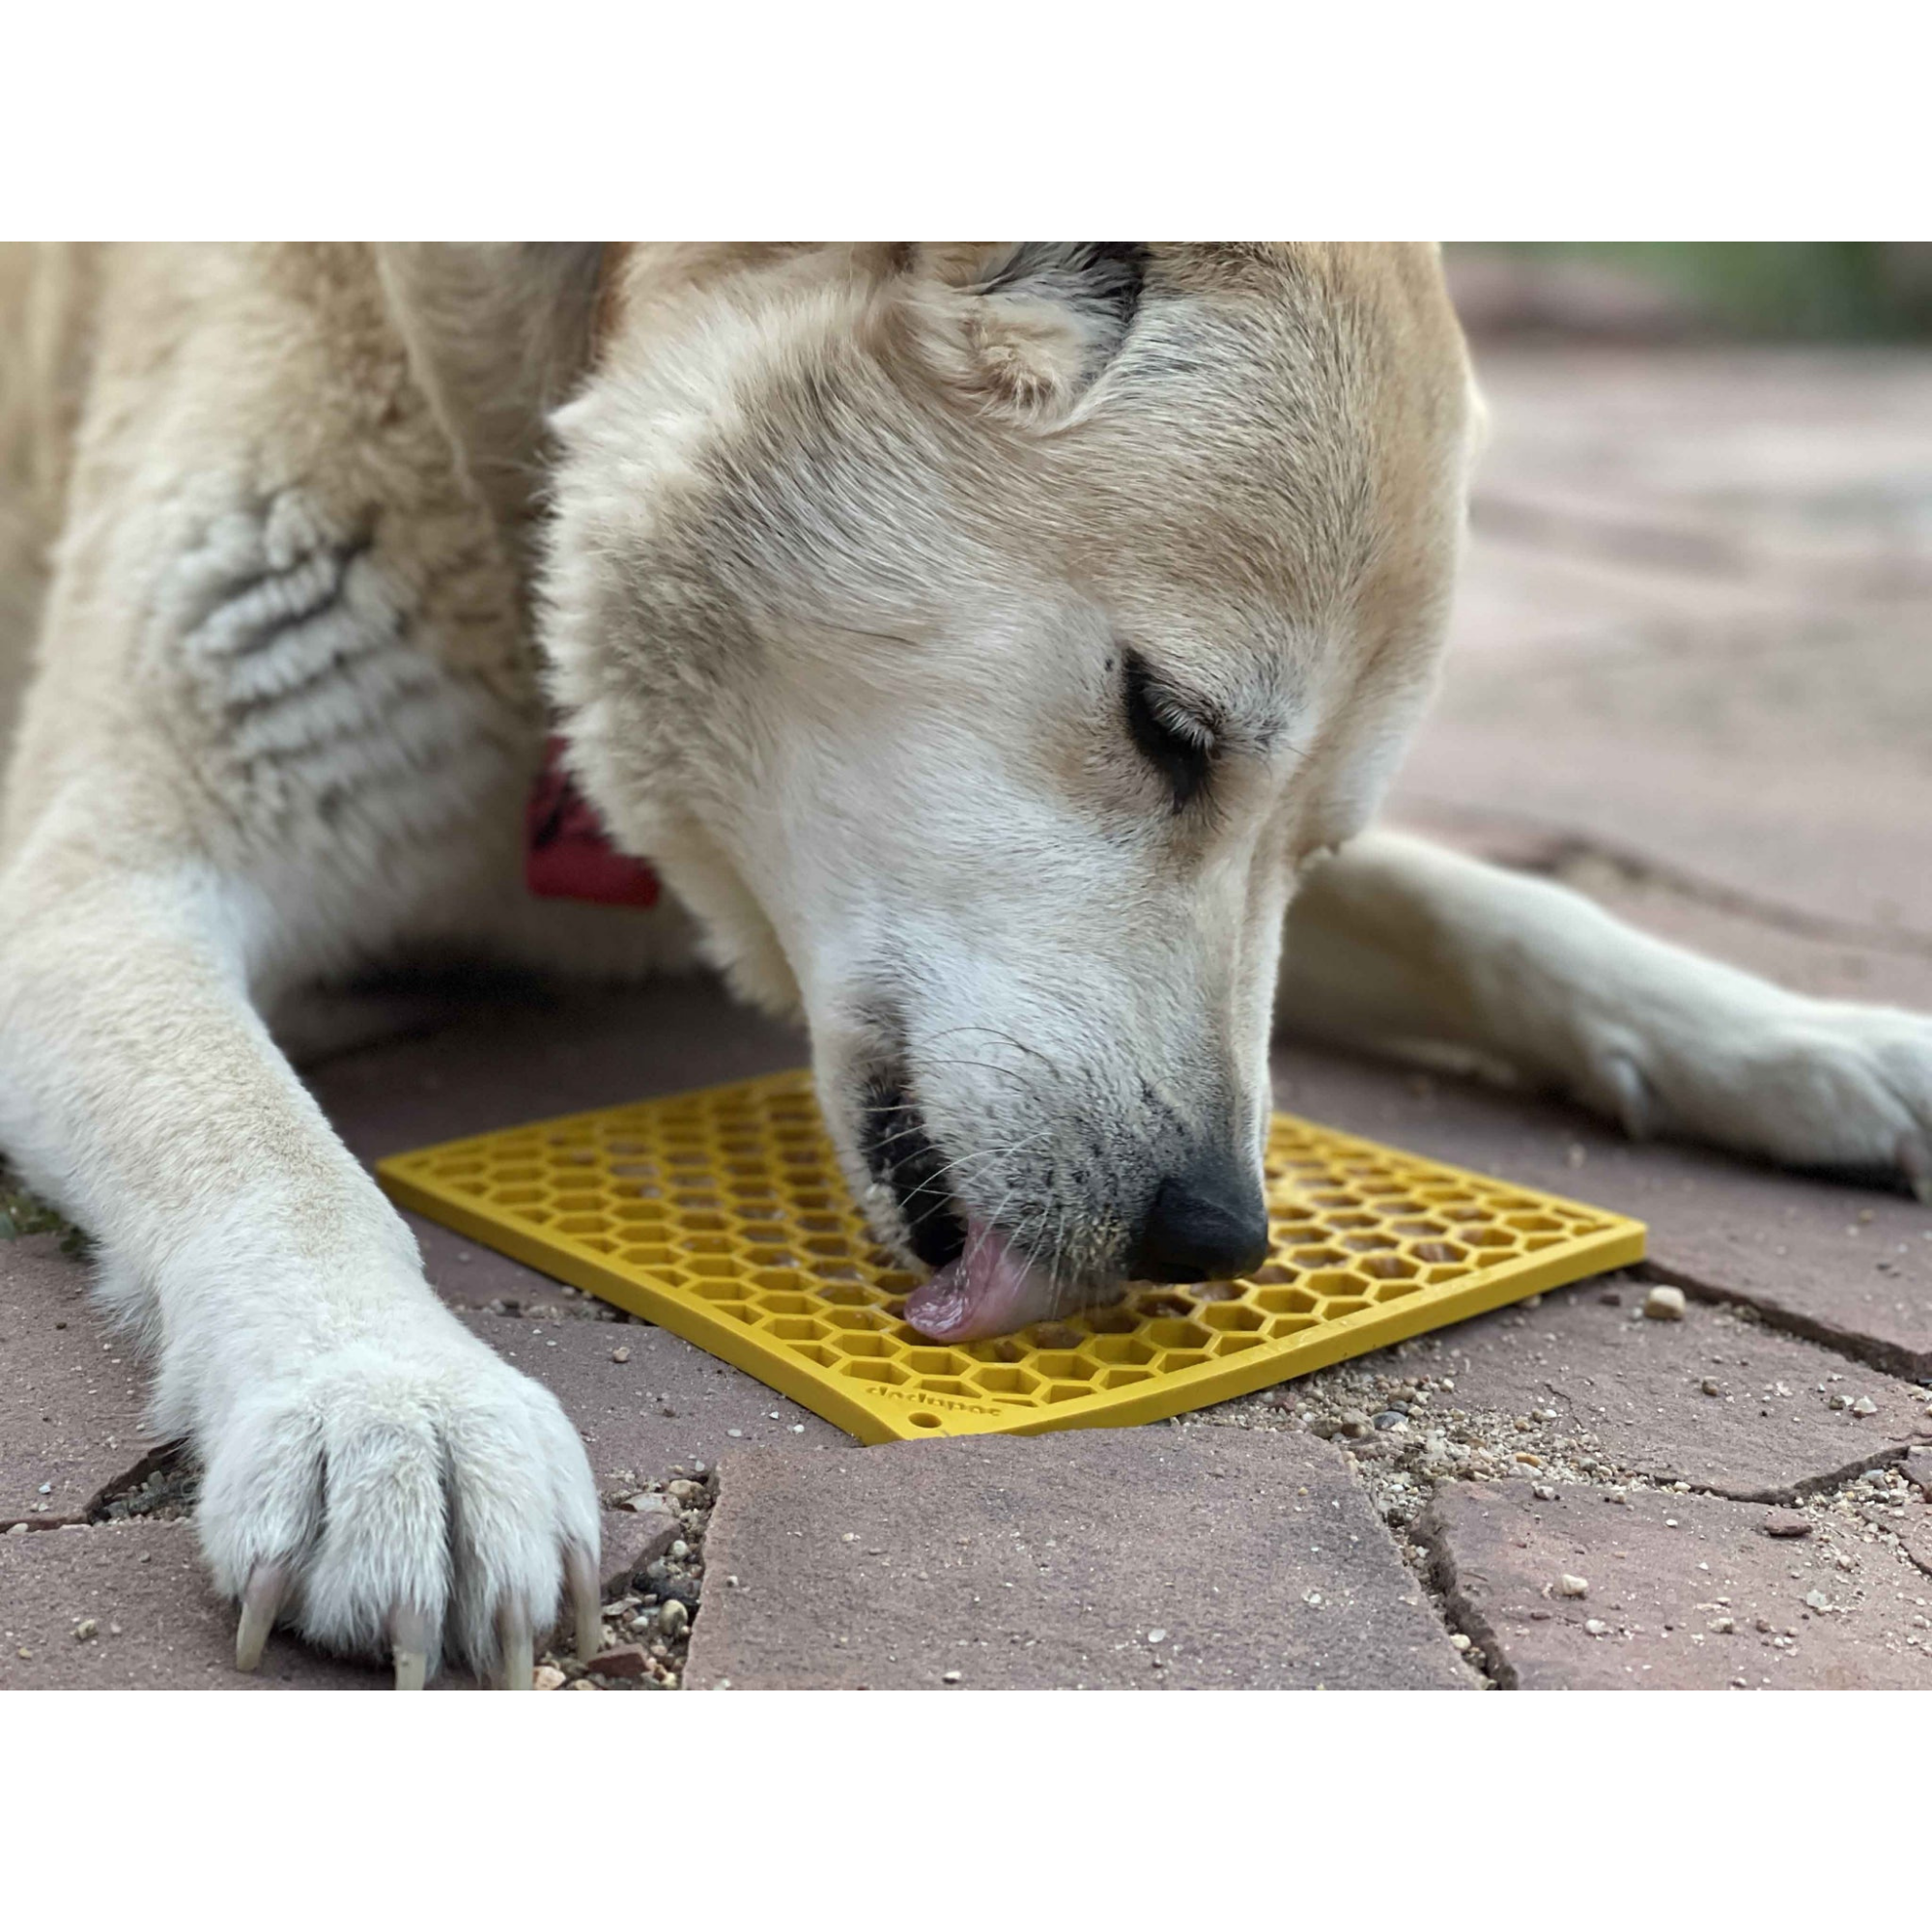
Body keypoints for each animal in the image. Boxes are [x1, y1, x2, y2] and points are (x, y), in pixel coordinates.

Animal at [3, 245, 1932, 1692]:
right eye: (1168, 726)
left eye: (1314, 839)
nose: (1215, 1236)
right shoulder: (89, 882)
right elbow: (262, 1141)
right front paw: (389, 1404)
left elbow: (1502, 912)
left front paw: (1811, 1041)